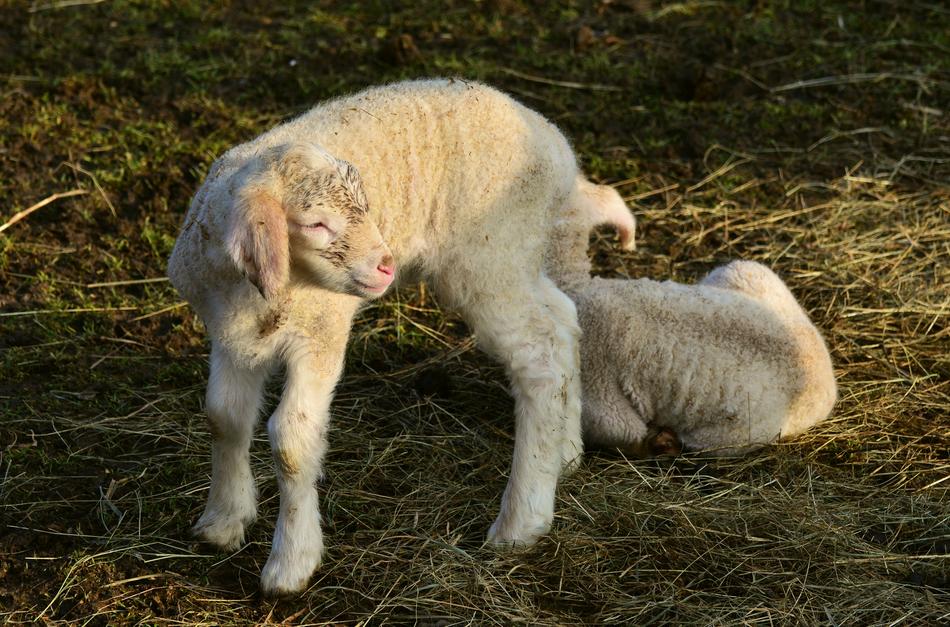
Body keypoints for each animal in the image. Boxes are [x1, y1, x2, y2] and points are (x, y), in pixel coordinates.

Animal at [168, 79, 598, 596]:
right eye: (315, 223)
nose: (386, 267)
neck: (257, 296)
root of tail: (557, 148)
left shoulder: (320, 334)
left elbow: (291, 440)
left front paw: (291, 563)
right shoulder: (231, 337)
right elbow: (223, 418)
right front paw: (222, 522)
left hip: (491, 256)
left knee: (540, 361)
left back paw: (522, 521)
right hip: (516, 258)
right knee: (561, 318)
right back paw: (566, 453)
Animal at [545, 180, 837, 457]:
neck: (577, 287)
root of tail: (827, 380)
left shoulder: (598, 393)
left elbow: (623, 431)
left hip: (728, 438)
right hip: (746, 270)